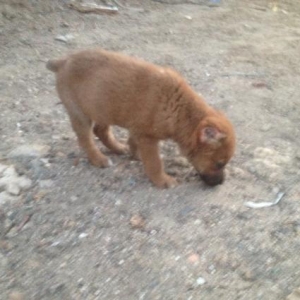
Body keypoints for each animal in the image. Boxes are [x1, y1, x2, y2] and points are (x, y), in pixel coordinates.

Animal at [47, 49, 236, 188]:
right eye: (219, 164)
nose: (221, 183)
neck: (180, 111)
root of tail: (63, 61)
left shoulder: (138, 129)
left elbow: (133, 142)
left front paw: (135, 154)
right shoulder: (148, 137)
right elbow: (154, 163)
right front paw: (162, 180)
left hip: (103, 108)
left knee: (100, 130)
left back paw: (118, 148)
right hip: (80, 114)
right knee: (86, 139)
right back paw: (98, 159)